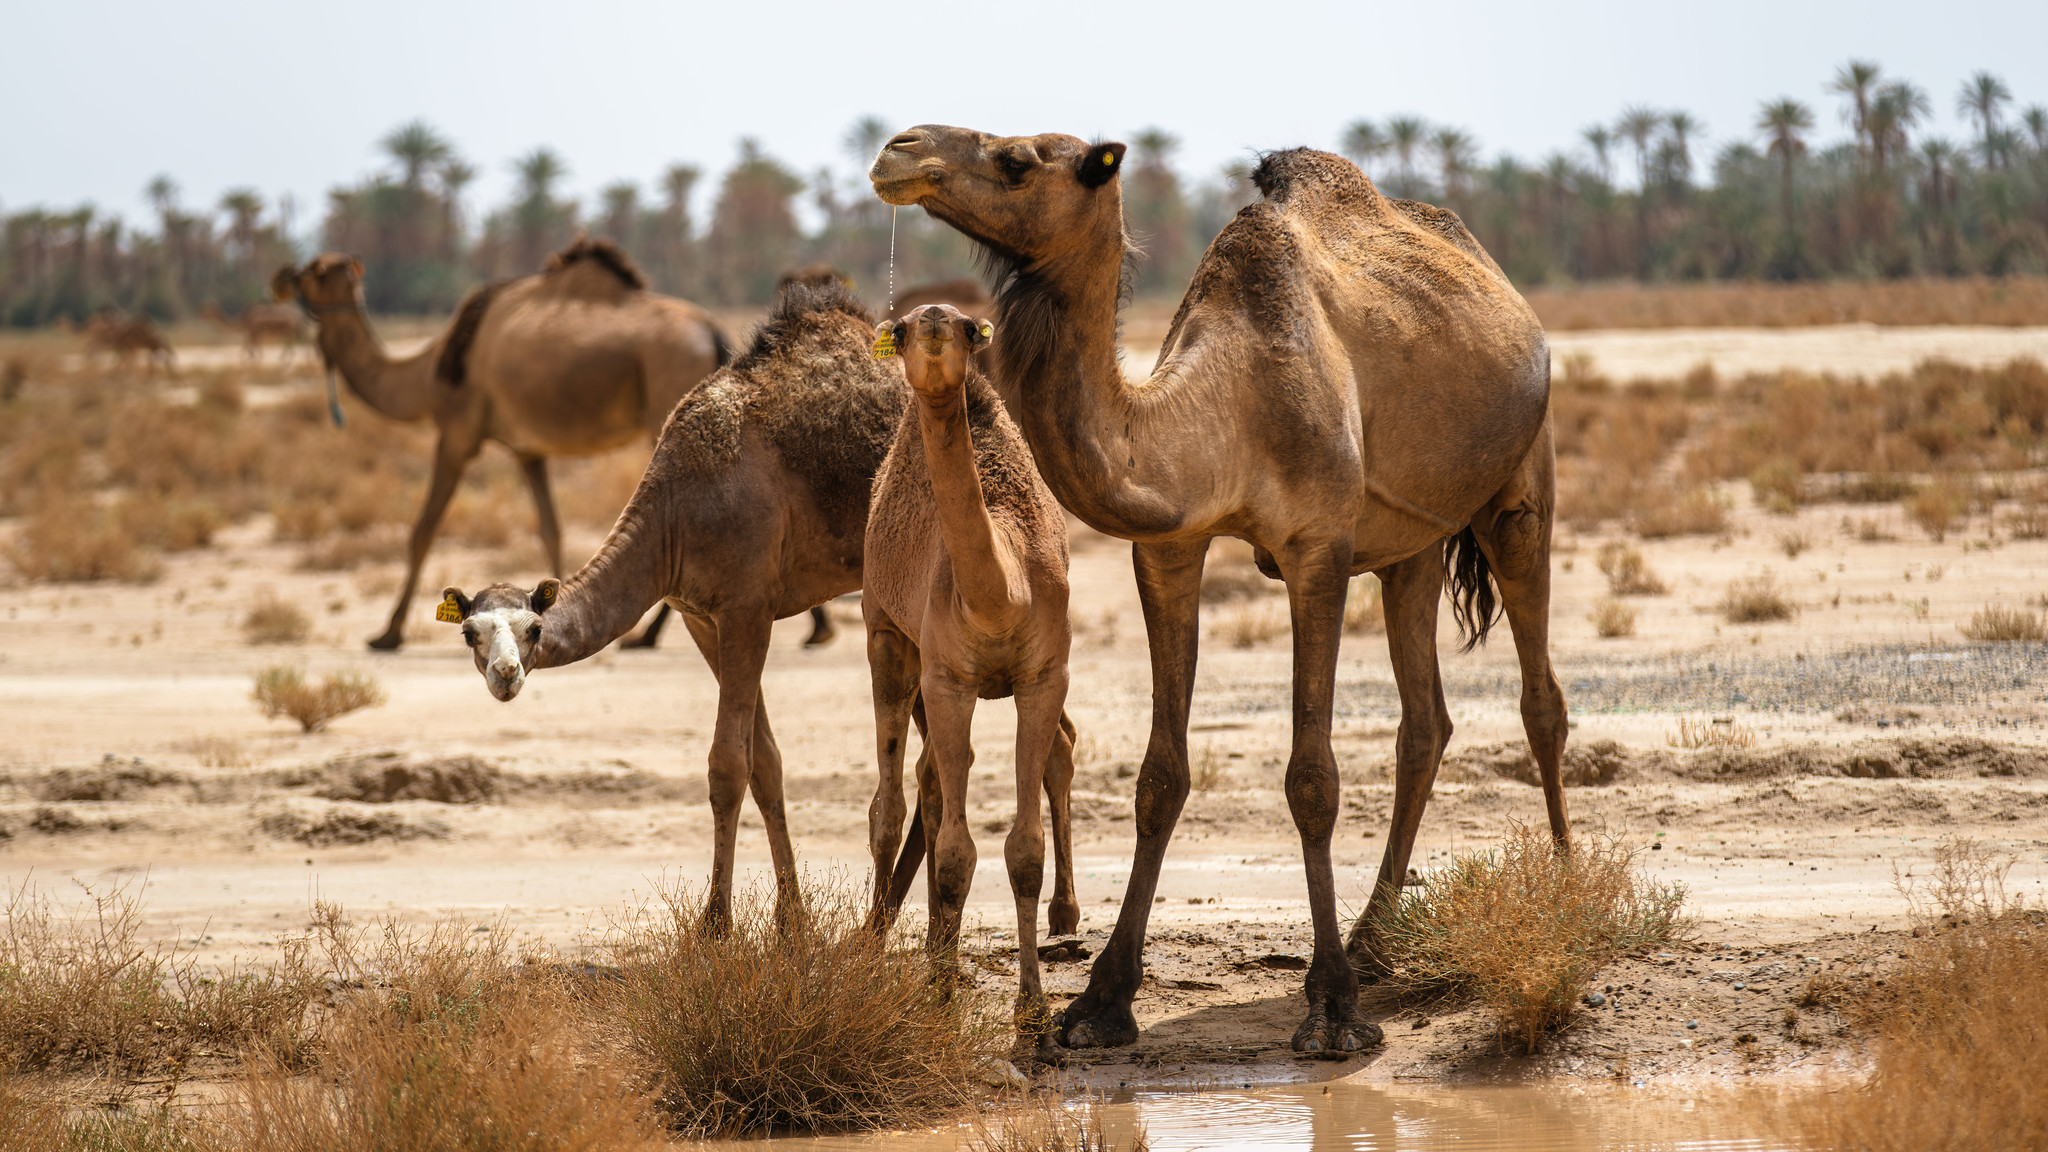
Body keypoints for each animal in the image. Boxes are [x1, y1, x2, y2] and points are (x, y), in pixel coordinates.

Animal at [272, 234, 831, 651]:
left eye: (315, 271)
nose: (284, 276)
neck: (431, 371)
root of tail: (715, 334)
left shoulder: (457, 430)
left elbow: (424, 527)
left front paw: (386, 634)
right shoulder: (527, 449)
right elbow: (550, 528)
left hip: (666, 404)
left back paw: (652, 636)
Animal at [444, 280, 933, 922]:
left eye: (532, 628)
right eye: (469, 632)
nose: (504, 675)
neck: (673, 517)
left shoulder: (748, 608)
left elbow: (727, 765)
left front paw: (716, 922)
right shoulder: (701, 616)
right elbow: (764, 763)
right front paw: (791, 921)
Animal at [860, 305, 1089, 1057]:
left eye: (967, 326)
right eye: (902, 329)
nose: (933, 322)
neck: (1002, 594)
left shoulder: (1044, 673)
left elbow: (1024, 848)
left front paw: (1034, 1018)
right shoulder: (949, 677)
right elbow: (960, 848)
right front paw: (940, 996)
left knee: (976, 773)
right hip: (887, 637)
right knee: (896, 800)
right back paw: (887, 953)